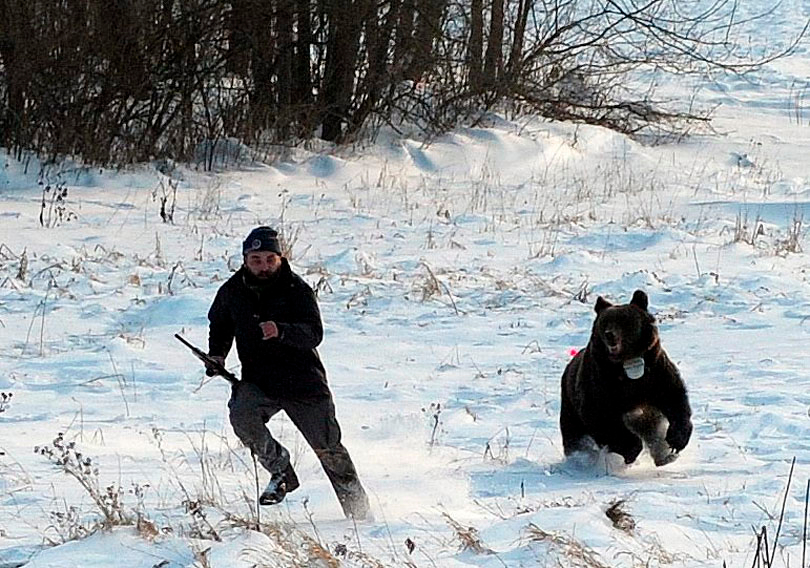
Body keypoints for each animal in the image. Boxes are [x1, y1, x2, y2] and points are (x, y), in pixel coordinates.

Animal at [560, 288, 692, 466]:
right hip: (570, 408)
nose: (610, 335)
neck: (627, 363)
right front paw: (629, 451)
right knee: (574, 436)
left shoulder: (656, 374)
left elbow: (676, 401)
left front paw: (676, 441)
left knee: (653, 432)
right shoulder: (602, 385)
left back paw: (664, 455)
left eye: (624, 320)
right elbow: (604, 418)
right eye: (605, 322)